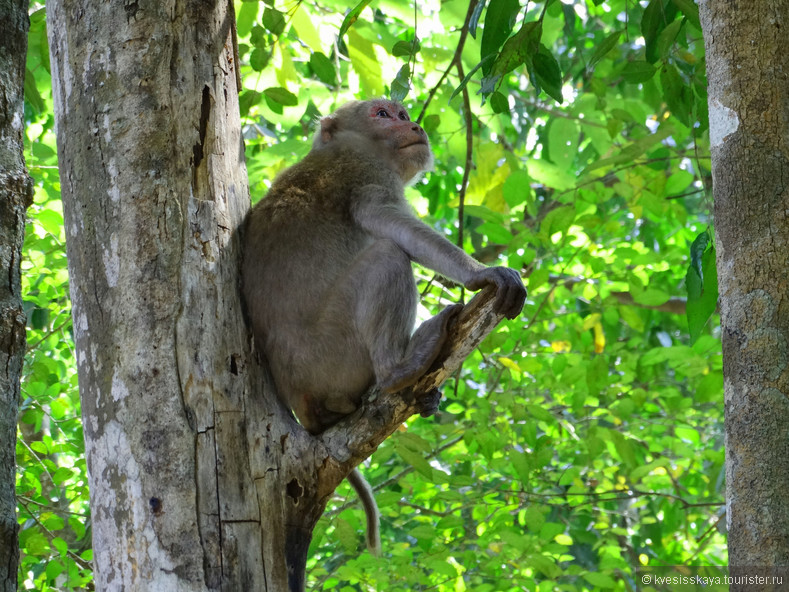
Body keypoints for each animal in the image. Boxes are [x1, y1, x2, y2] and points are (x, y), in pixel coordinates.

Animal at [240, 98, 524, 556]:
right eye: (383, 114)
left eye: (403, 114)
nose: (415, 126)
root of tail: (300, 401)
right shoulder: (366, 172)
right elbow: (392, 224)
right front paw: (483, 274)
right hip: (333, 353)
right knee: (388, 256)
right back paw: (399, 369)